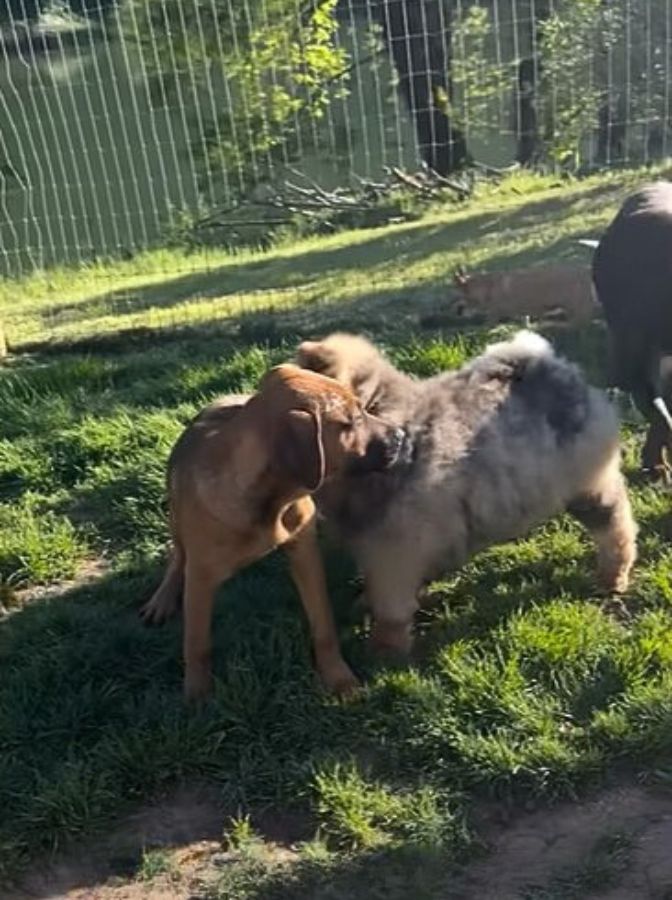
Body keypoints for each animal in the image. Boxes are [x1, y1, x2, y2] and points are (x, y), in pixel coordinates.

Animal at [140, 364, 404, 704]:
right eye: (351, 422)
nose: (401, 436)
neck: (269, 502)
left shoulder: (305, 553)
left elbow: (324, 624)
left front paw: (338, 676)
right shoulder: (200, 577)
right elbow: (197, 643)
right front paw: (197, 695)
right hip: (176, 517)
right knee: (178, 556)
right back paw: (162, 599)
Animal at [296, 330, 636, 652]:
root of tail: (558, 367)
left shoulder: (394, 546)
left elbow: (390, 605)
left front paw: (385, 648)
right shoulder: (376, 542)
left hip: (588, 486)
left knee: (616, 527)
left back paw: (613, 577)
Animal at [454, 262, 596, 326]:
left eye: (458, 296)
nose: (457, 312)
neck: (488, 287)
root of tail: (587, 270)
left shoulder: (492, 317)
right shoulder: (523, 316)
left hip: (578, 313)